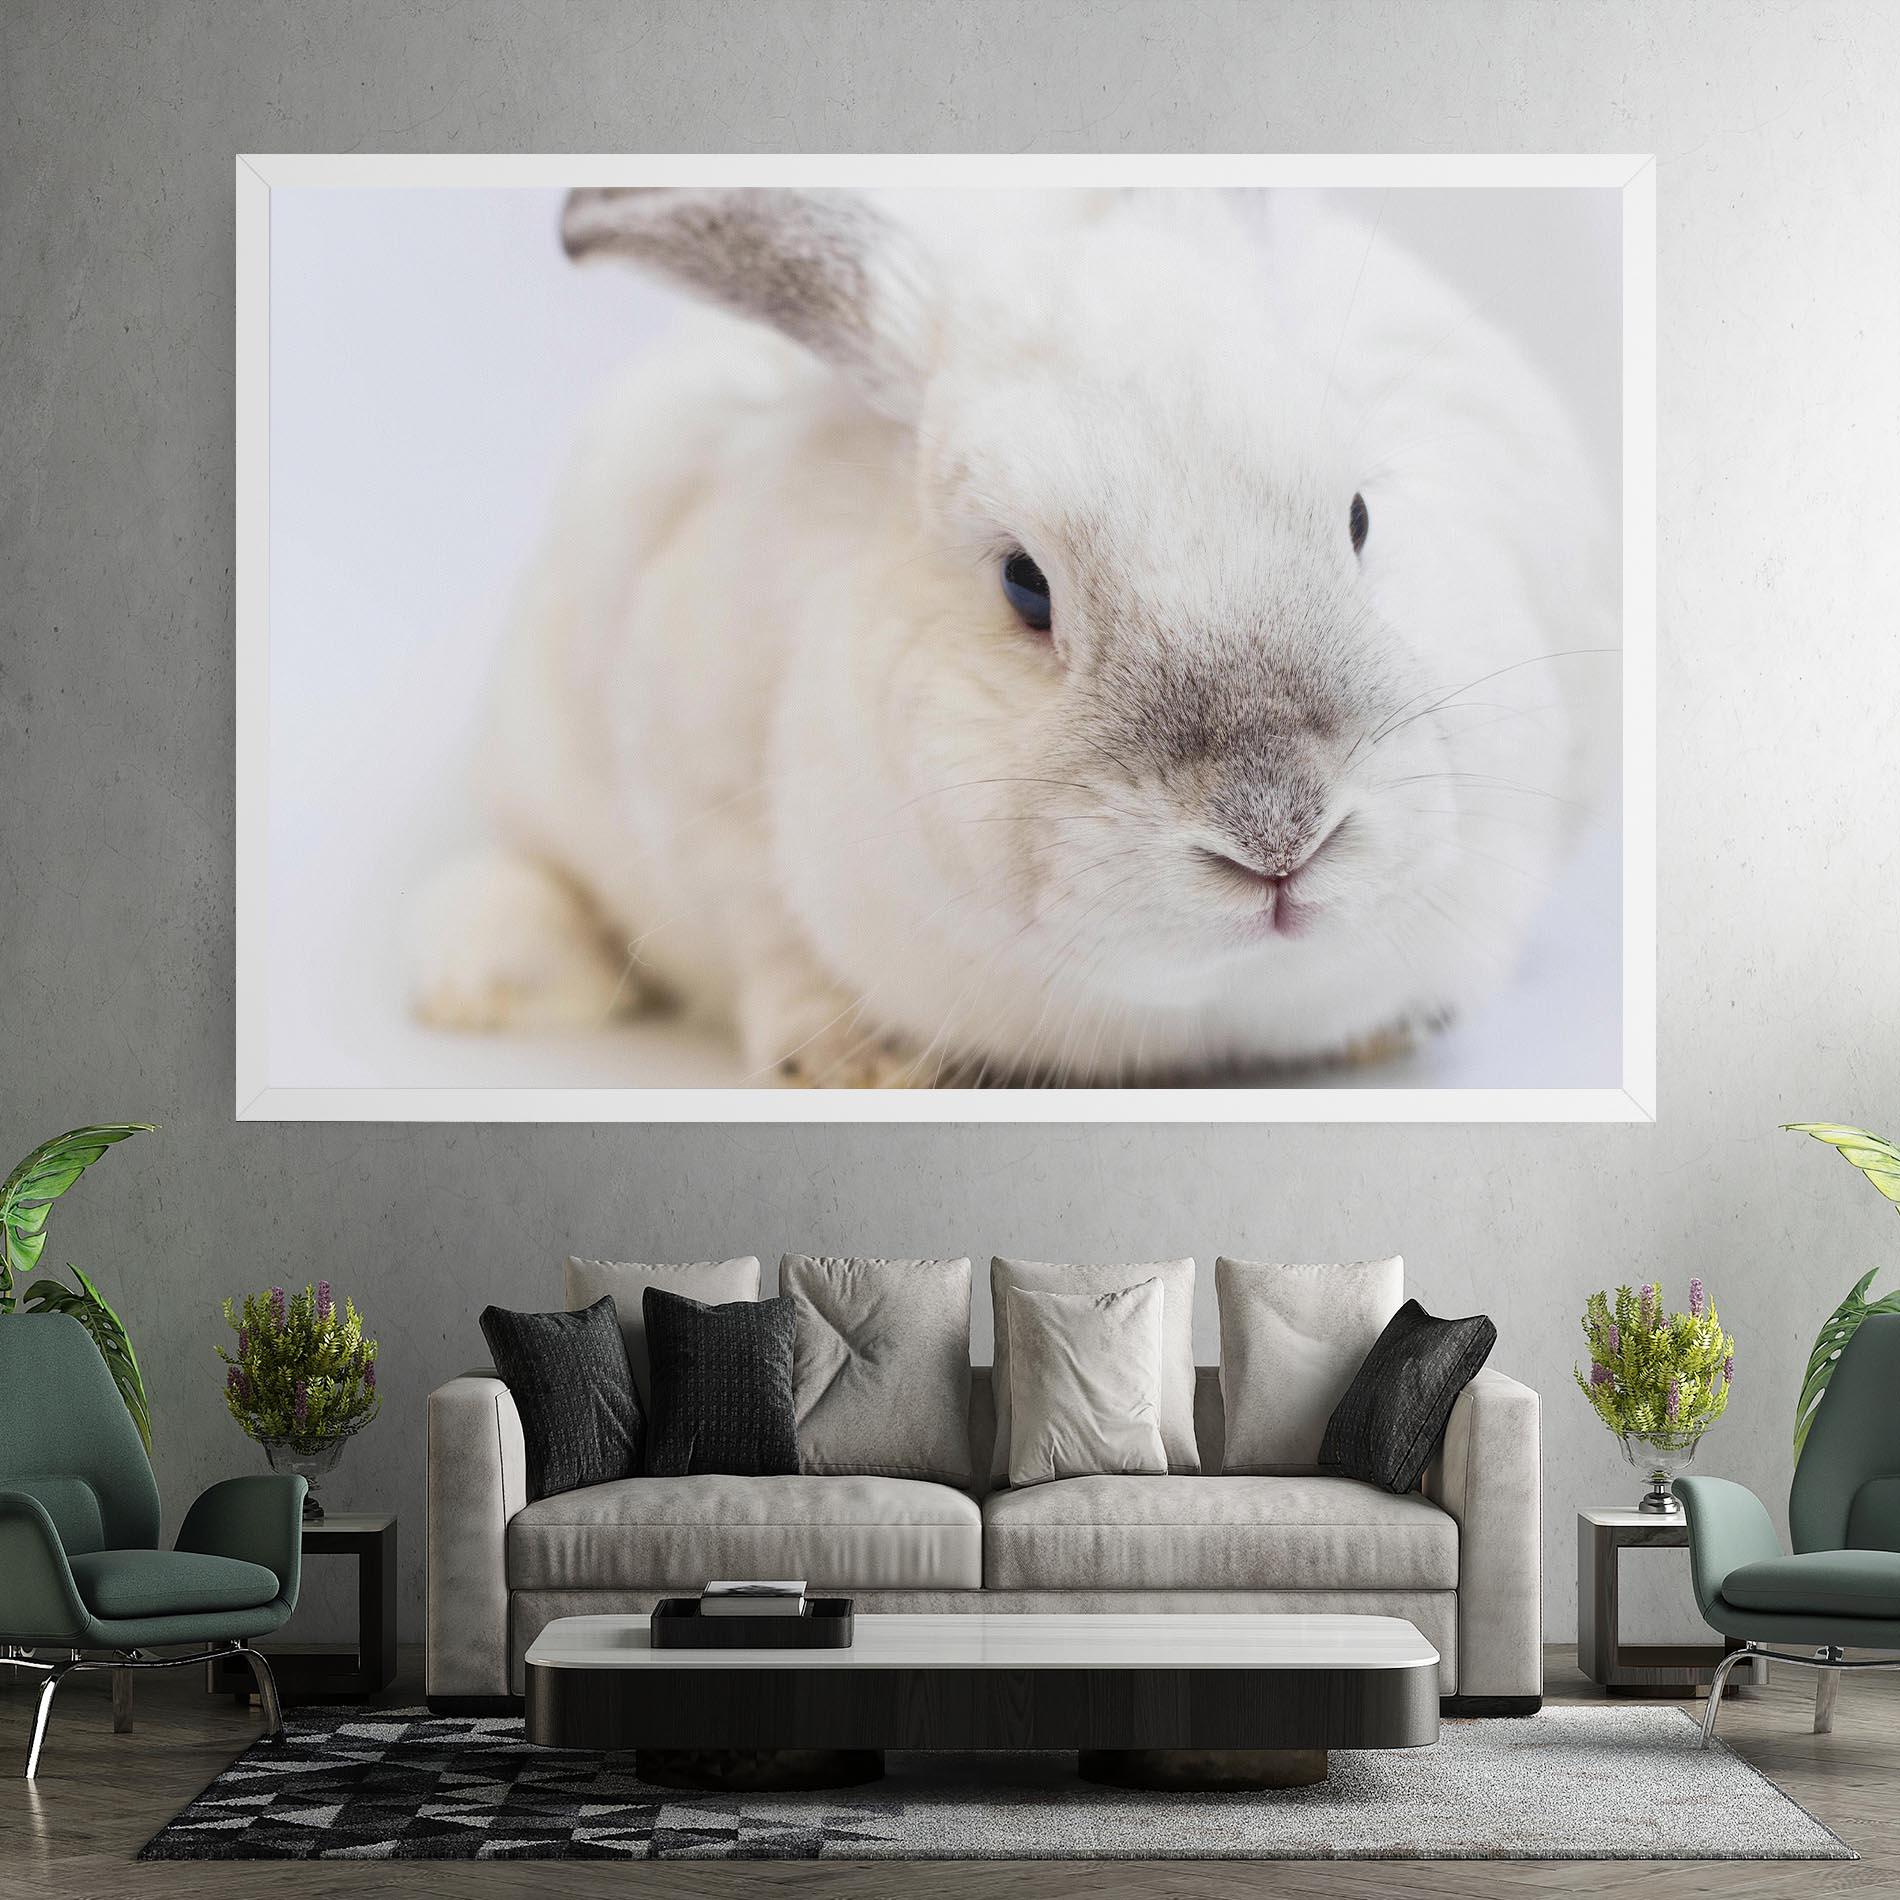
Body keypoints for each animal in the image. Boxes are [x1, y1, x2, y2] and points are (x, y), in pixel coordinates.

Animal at [408, 186, 1616, 1087]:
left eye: (1360, 516)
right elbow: (771, 944)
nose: (1278, 836)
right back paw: (482, 984)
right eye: (1024, 585)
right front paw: (857, 1061)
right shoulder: (701, 800)